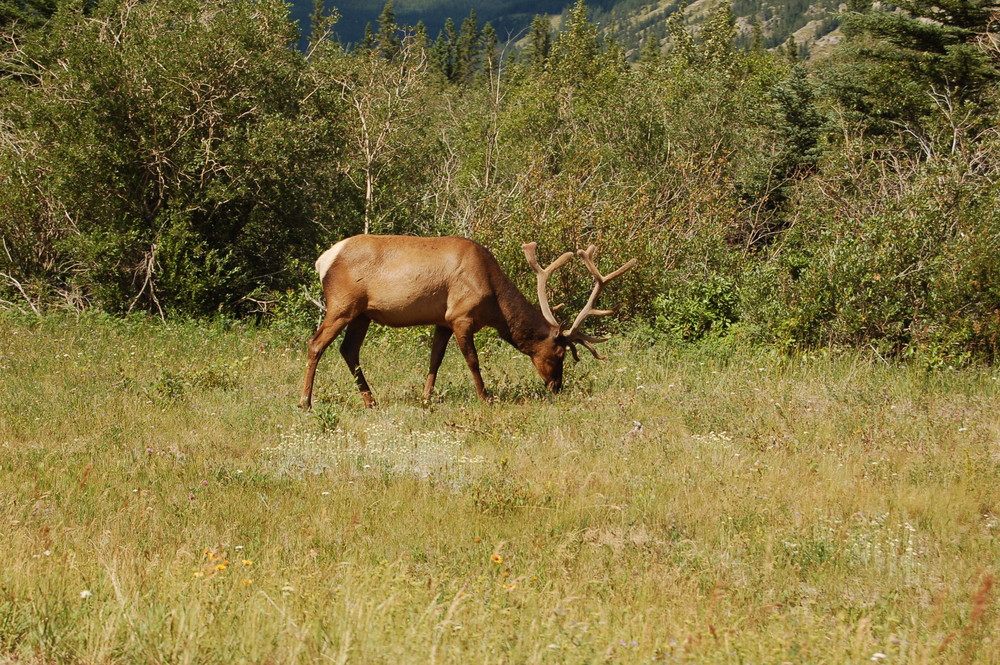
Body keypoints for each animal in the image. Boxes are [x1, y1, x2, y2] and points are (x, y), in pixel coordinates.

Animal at [298, 233, 632, 410]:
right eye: (560, 353)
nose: (556, 386)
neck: (494, 301)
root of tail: (322, 260)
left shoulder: (442, 321)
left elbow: (435, 359)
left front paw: (426, 398)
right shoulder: (461, 316)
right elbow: (472, 360)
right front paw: (485, 397)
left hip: (363, 314)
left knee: (348, 350)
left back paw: (370, 401)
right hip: (342, 304)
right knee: (315, 344)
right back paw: (306, 402)